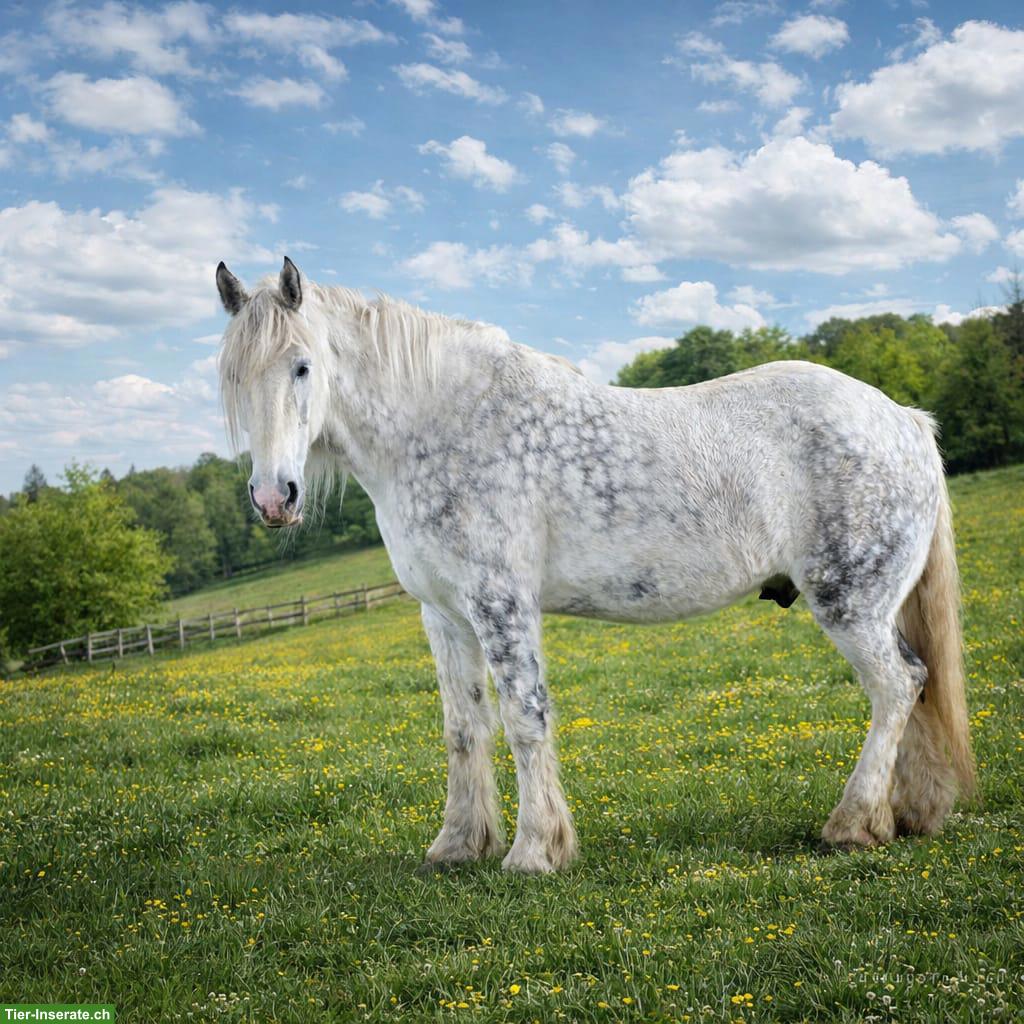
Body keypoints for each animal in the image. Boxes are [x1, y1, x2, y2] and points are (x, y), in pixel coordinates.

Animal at [215, 257, 975, 873]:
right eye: (233, 379)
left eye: (302, 365)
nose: (274, 498)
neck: (439, 425)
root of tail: (902, 419)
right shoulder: (444, 614)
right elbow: (464, 729)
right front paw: (459, 845)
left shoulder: (501, 603)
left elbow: (524, 718)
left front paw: (534, 851)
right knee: (915, 687)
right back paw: (909, 815)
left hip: (849, 600)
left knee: (897, 685)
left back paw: (853, 824)